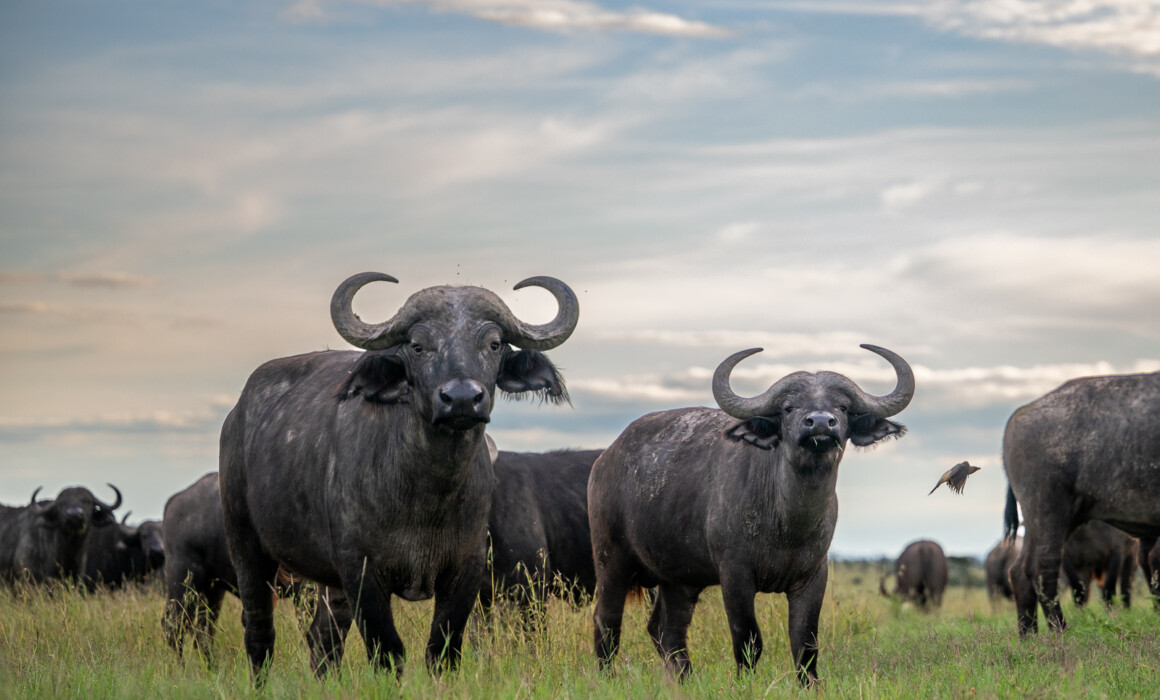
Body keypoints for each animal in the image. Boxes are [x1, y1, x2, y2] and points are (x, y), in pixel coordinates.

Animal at [220, 272, 577, 679]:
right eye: (418, 346)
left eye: (494, 343)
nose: (461, 399)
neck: (427, 496)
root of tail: (237, 415)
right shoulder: (361, 570)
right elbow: (387, 650)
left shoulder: (466, 568)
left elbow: (443, 649)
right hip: (246, 542)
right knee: (259, 629)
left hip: (329, 582)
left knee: (324, 636)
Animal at [588, 344, 913, 685]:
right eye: (788, 407)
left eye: (843, 407)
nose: (821, 424)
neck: (788, 526)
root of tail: (606, 458)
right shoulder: (735, 575)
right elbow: (747, 638)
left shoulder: (813, 575)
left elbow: (805, 642)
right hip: (611, 560)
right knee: (607, 620)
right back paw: (608, 678)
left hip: (678, 579)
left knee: (666, 629)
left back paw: (684, 679)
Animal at [1003, 371, 1160, 635]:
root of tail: (1019, 415)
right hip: (1049, 509)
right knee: (1040, 567)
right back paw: (1060, 632)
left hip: (1050, 518)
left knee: (1019, 571)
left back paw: (1029, 636)